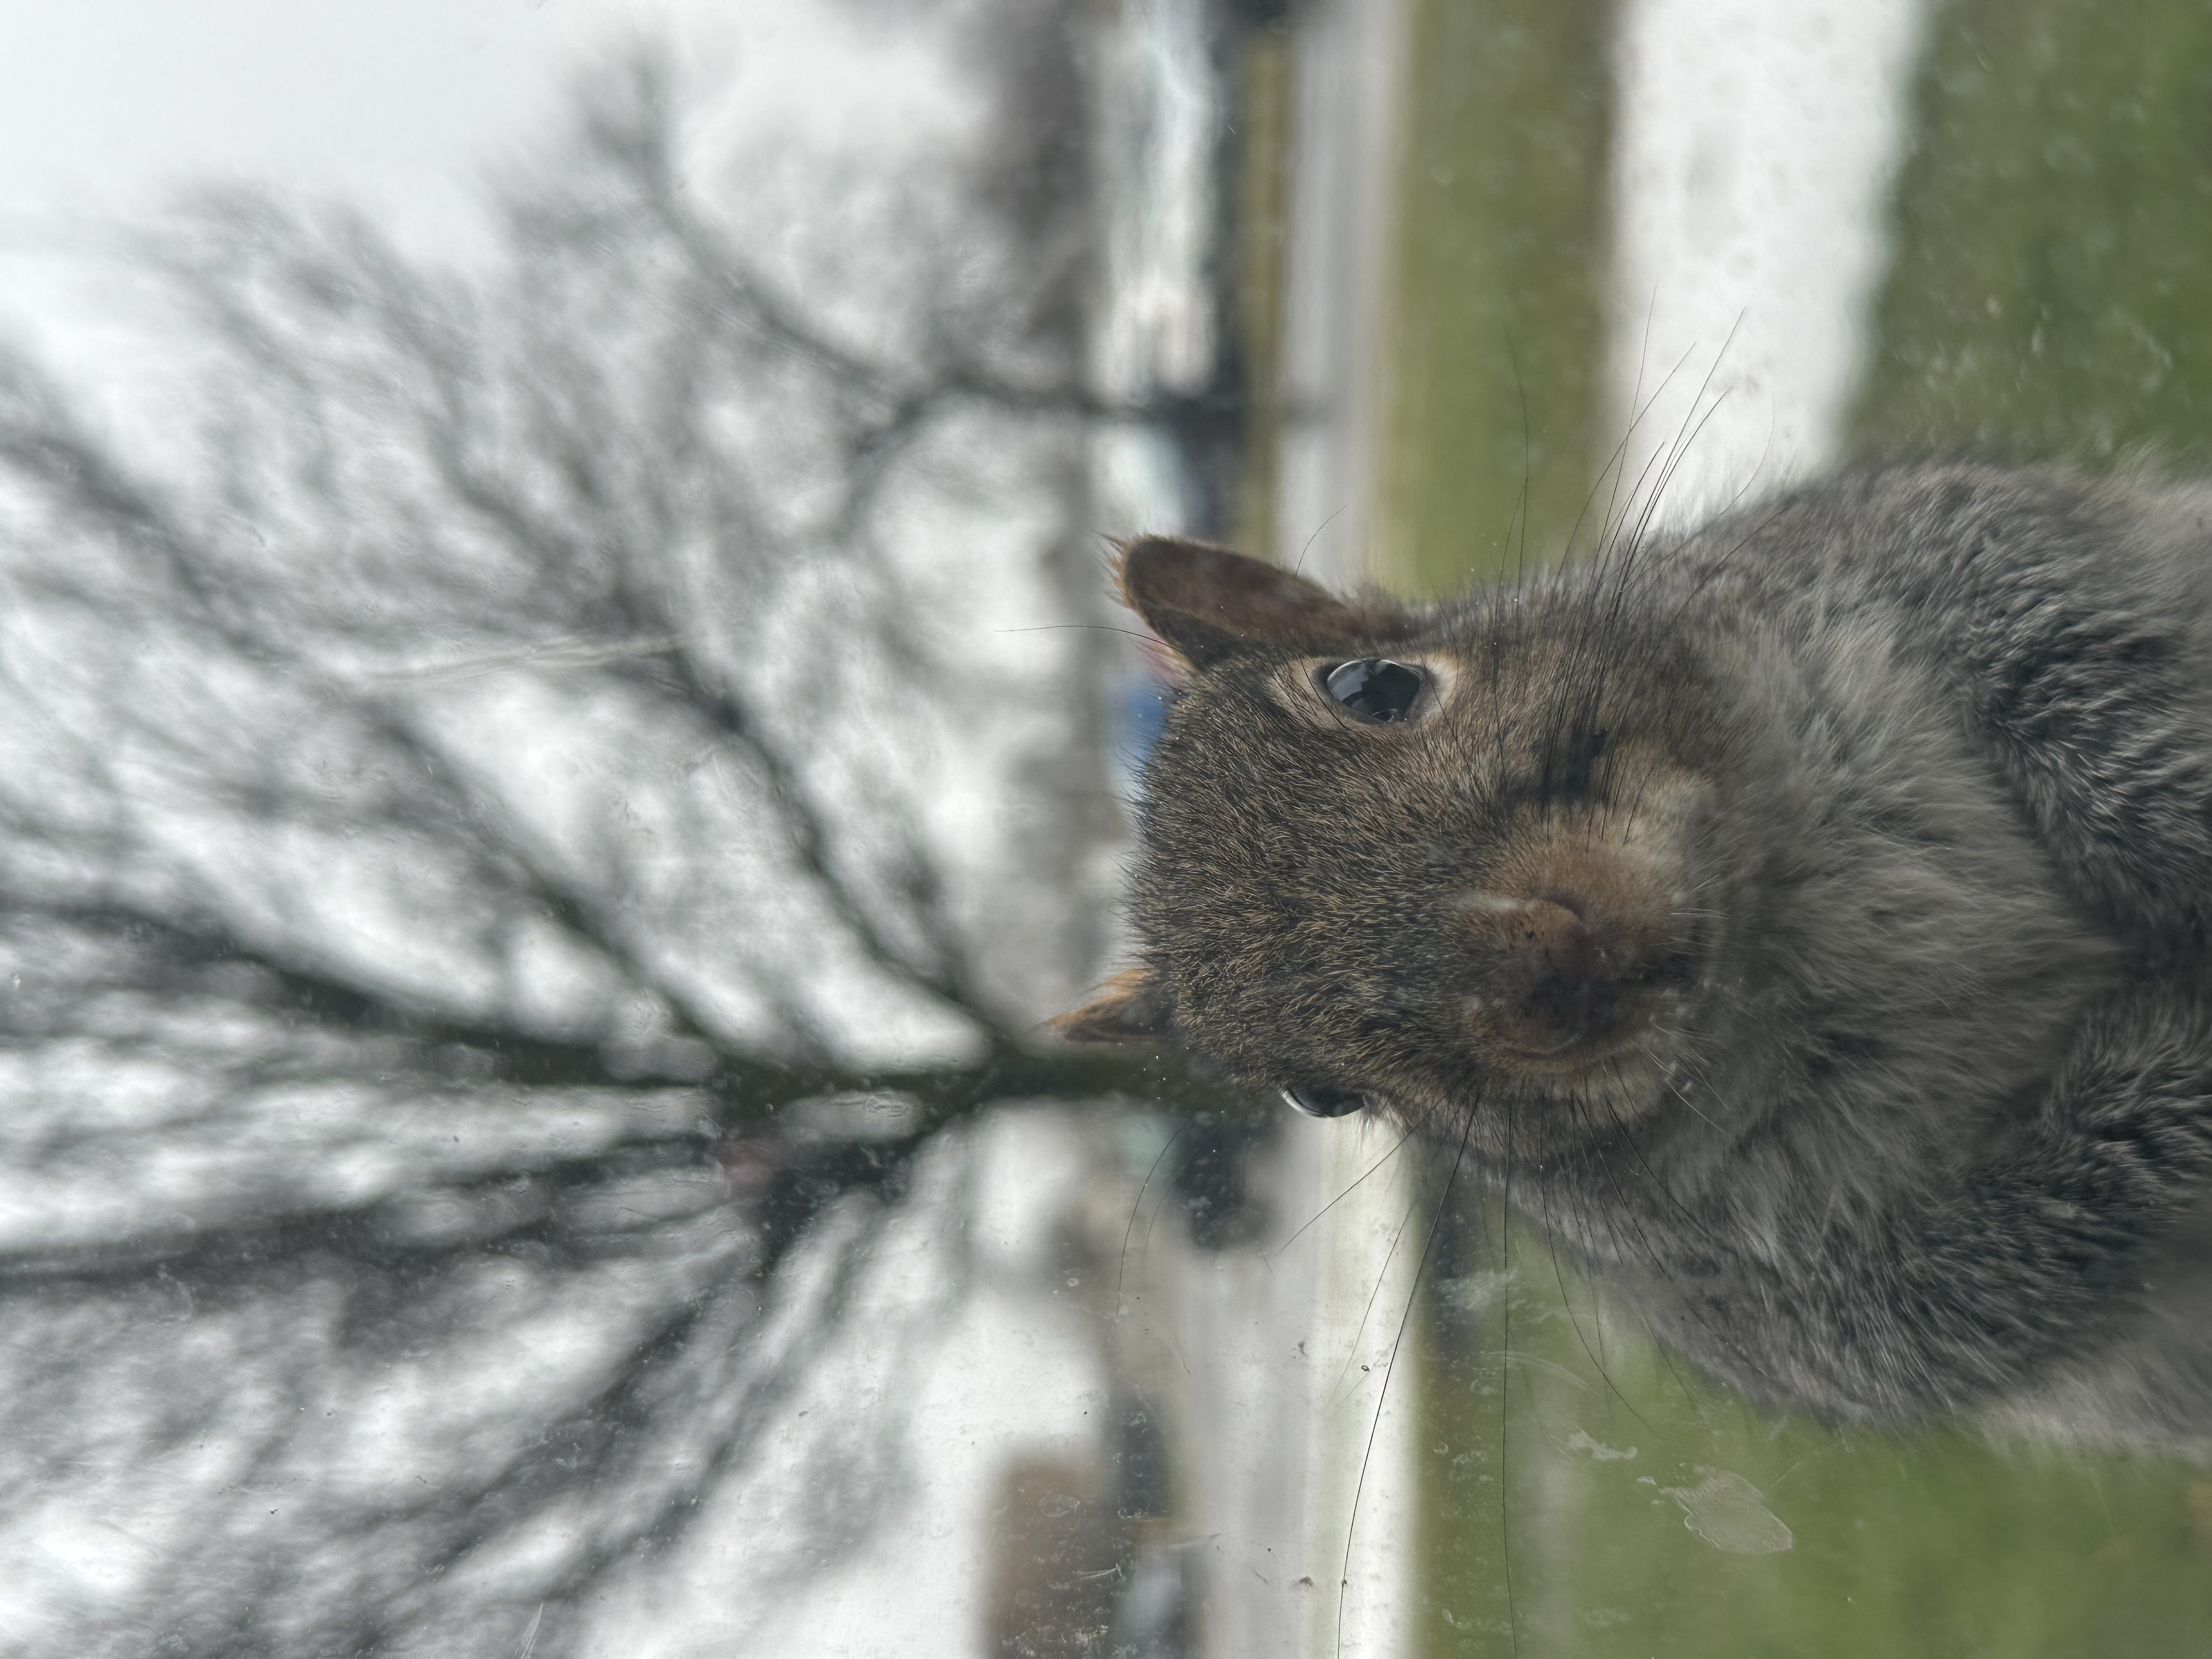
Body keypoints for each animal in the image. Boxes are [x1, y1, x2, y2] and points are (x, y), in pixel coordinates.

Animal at [1058, 462, 2212, 1453]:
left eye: (1372, 683)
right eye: (1320, 1097)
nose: (1547, 973)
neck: (1779, 928)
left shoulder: (1929, 563)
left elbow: (2072, 672)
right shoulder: (1789, 1301)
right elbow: (2014, 1260)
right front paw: (2170, 1052)